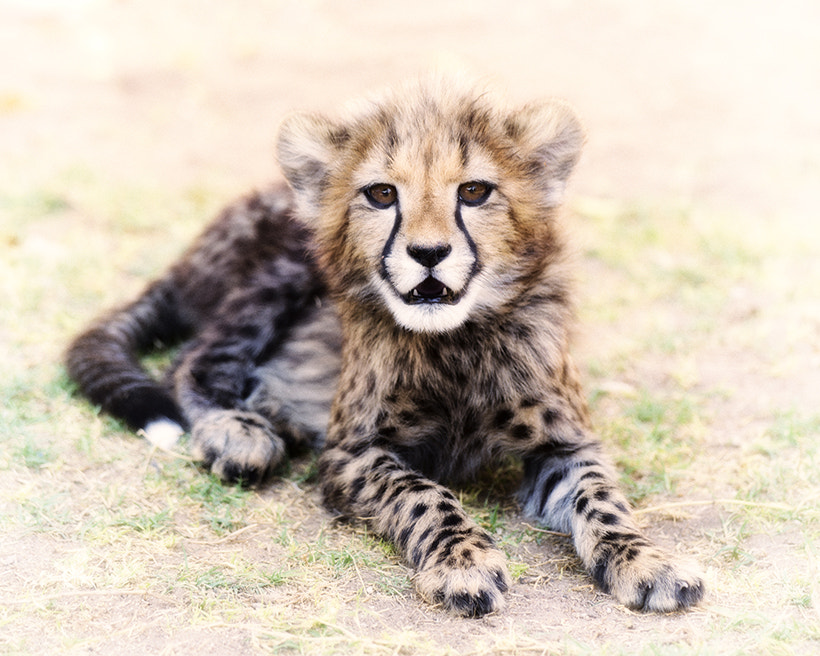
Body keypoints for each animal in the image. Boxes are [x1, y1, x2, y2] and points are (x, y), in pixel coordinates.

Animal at [66, 74, 705, 617]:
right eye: (380, 194)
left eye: (474, 191)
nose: (428, 253)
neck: (456, 341)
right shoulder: (351, 451)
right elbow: (422, 492)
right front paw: (462, 561)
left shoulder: (567, 441)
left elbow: (602, 496)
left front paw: (648, 559)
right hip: (280, 272)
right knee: (194, 360)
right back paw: (240, 430)